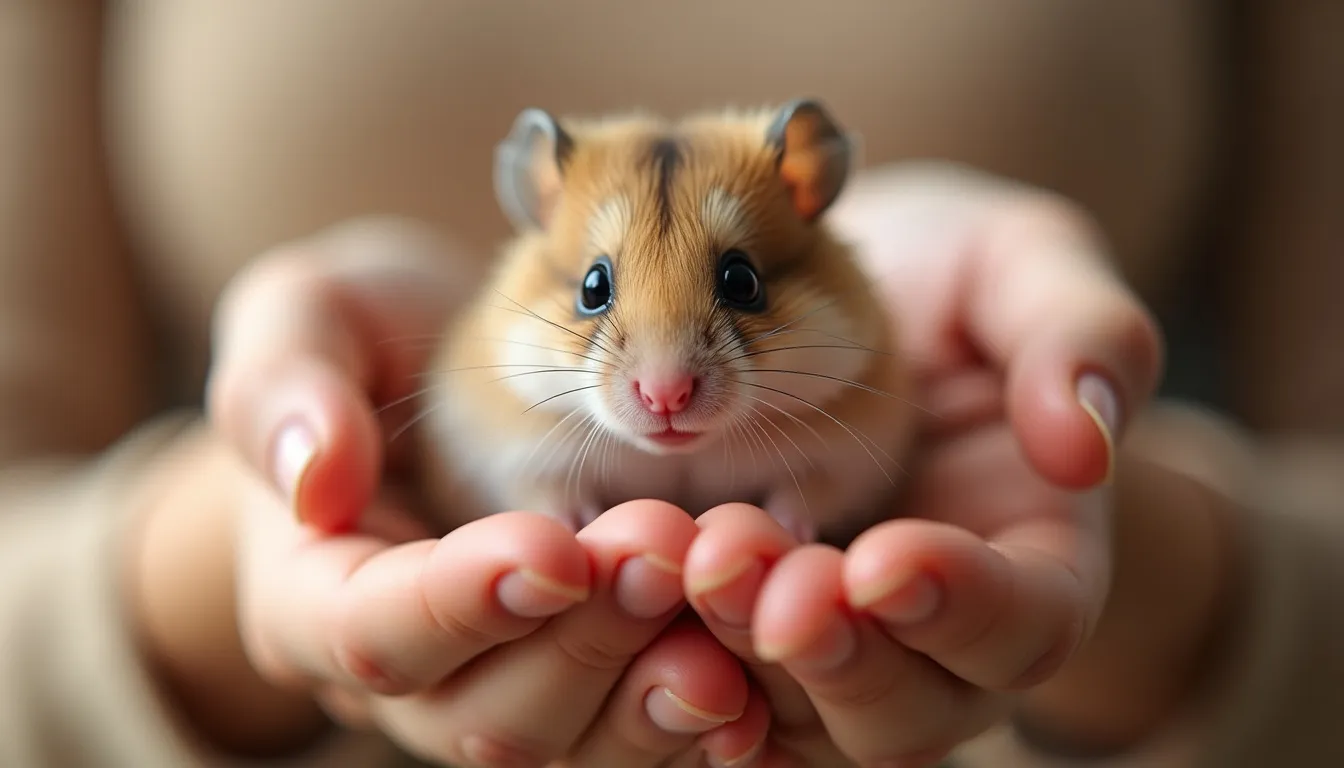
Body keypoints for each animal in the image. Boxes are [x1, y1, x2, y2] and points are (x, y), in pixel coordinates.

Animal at [416, 99, 918, 543]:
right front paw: (578, 525)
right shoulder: (497, 461)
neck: (676, 455)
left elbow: (809, 497)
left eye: (743, 281)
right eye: (592, 287)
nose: (666, 396)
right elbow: (545, 494)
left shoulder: (855, 465)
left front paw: (784, 530)